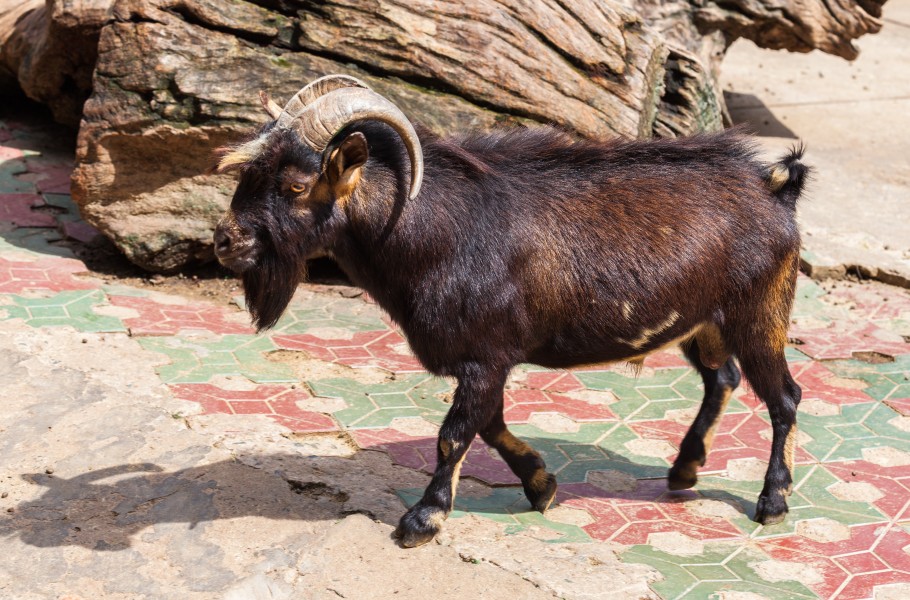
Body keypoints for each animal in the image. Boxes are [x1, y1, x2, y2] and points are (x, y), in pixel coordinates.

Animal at [213, 75, 809, 548]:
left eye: (295, 186)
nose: (225, 241)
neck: (430, 229)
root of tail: (775, 189)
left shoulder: (484, 357)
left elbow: (456, 433)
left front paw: (422, 520)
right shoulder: (486, 361)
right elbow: (491, 425)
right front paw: (541, 485)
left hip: (760, 315)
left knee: (784, 397)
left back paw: (772, 502)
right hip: (704, 322)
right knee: (722, 377)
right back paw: (685, 468)